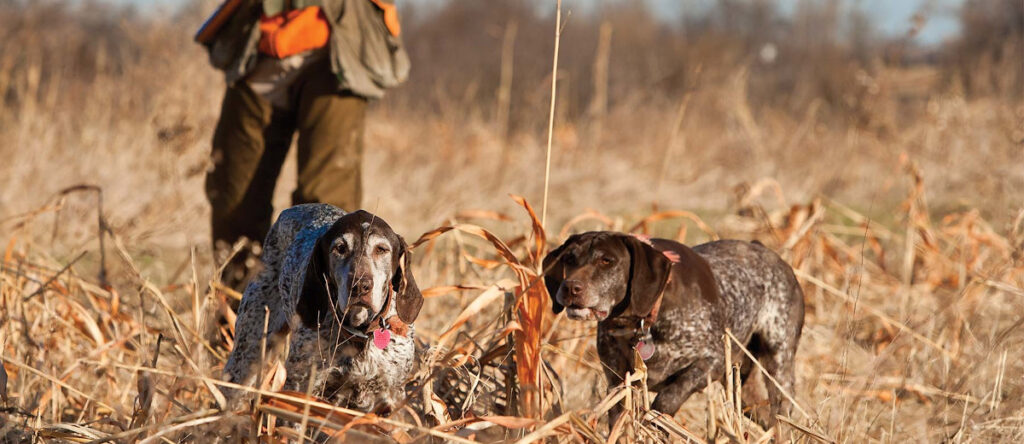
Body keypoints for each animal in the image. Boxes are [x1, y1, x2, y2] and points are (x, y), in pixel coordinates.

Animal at [225, 204, 423, 413]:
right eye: (340, 248)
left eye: (381, 249)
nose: (360, 286)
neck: (360, 334)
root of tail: (289, 211)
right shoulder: (301, 388)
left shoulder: (392, 397)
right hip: (247, 354)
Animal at [544, 232, 806, 427]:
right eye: (569, 259)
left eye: (606, 260)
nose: (570, 288)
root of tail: (763, 248)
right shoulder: (618, 380)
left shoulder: (711, 361)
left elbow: (668, 397)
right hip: (742, 388)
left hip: (778, 363)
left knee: (781, 414)